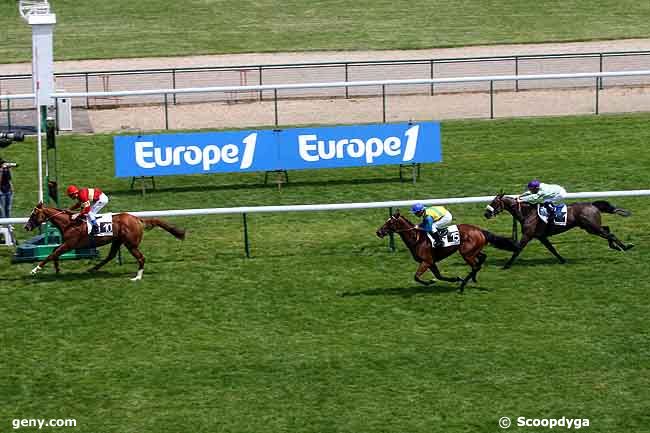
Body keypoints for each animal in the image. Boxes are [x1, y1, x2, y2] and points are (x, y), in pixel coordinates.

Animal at [23, 202, 185, 280]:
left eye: (33, 214)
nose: (26, 226)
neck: (69, 223)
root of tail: (137, 219)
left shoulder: (70, 244)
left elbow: (52, 254)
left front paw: (35, 270)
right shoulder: (67, 244)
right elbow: (53, 252)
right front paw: (57, 269)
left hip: (130, 244)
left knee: (141, 258)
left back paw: (137, 277)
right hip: (117, 241)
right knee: (111, 256)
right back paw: (92, 269)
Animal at [374, 212, 516, 292]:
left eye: (390, 222)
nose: (378, 232)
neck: (417, 239)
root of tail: (480, 230)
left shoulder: (426, 261)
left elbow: (417, 277)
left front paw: (429, 282)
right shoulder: (431, 262)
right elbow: (439, 276)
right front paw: (454, 278)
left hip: (466, 253)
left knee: (476, 266)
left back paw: (463, 286)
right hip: (472, 251)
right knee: (481, 259)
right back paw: (472, 278)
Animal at [484, 194, 632, 268]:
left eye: (494, 202)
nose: (486, 214)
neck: (527, 212)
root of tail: (592, 204)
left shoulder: (528, 235)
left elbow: (517, 249)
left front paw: (506, 265)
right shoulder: (541, 236)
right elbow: (552, 249)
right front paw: (562, 260)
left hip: (591, 227)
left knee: (609, 234)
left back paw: (625, 246)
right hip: (591, 227)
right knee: (607, 230)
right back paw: (616, 246)